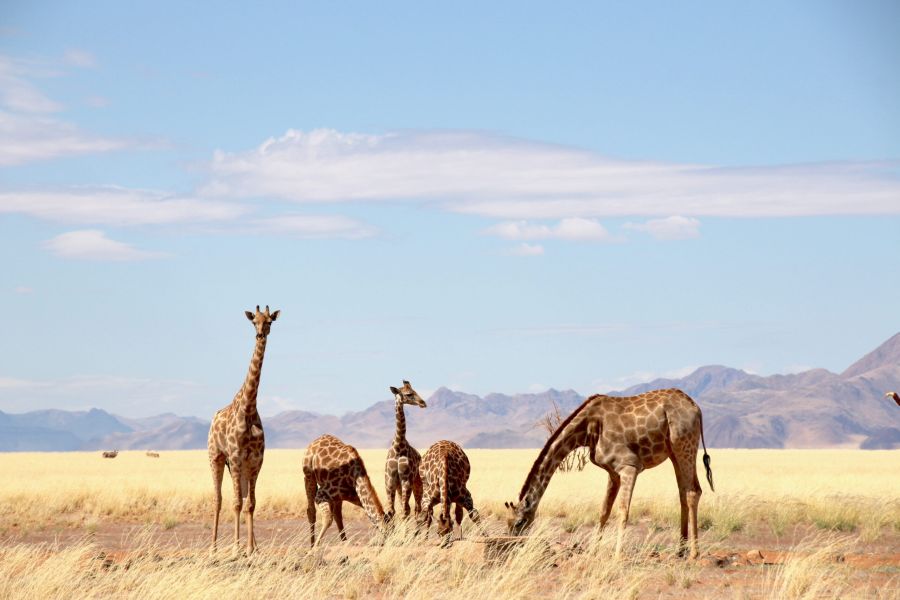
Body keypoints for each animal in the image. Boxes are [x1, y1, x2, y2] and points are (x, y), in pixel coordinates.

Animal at [207, 305, 279, 555]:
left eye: (269, 321)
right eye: (253, 321)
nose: (260, 335)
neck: (249, 407)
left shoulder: (255, 459)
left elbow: (251, 503)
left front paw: (250, 548)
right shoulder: (236, 456)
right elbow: (237, 503)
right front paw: (237, 548)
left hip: (240, 466)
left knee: (244, 496)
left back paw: (253, 546)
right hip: (217, 457)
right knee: (218, 499)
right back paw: (214, 547)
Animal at [384, 380, 427, 519]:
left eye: (415, 390)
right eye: (409, 394)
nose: (423, 403)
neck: (398, 446)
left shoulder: (406, 480)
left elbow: (405, 510)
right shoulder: (390, 481)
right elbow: (391, 511)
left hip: (418, 483)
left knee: (417, 508)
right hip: (399, 486)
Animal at [505, 388, 714, 559]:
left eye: (520, 522)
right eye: (508, 523)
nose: (512, 545)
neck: (586, 429)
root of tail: (696, 408)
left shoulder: (629, 465)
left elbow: (623, 510)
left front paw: (617, 555)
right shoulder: (612, 472)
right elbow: (604, 510)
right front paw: (592, 551)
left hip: (684, 444)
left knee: (693, 491)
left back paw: (694, 553)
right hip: (673, 452)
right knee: (683, 492)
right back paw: (680, 550)